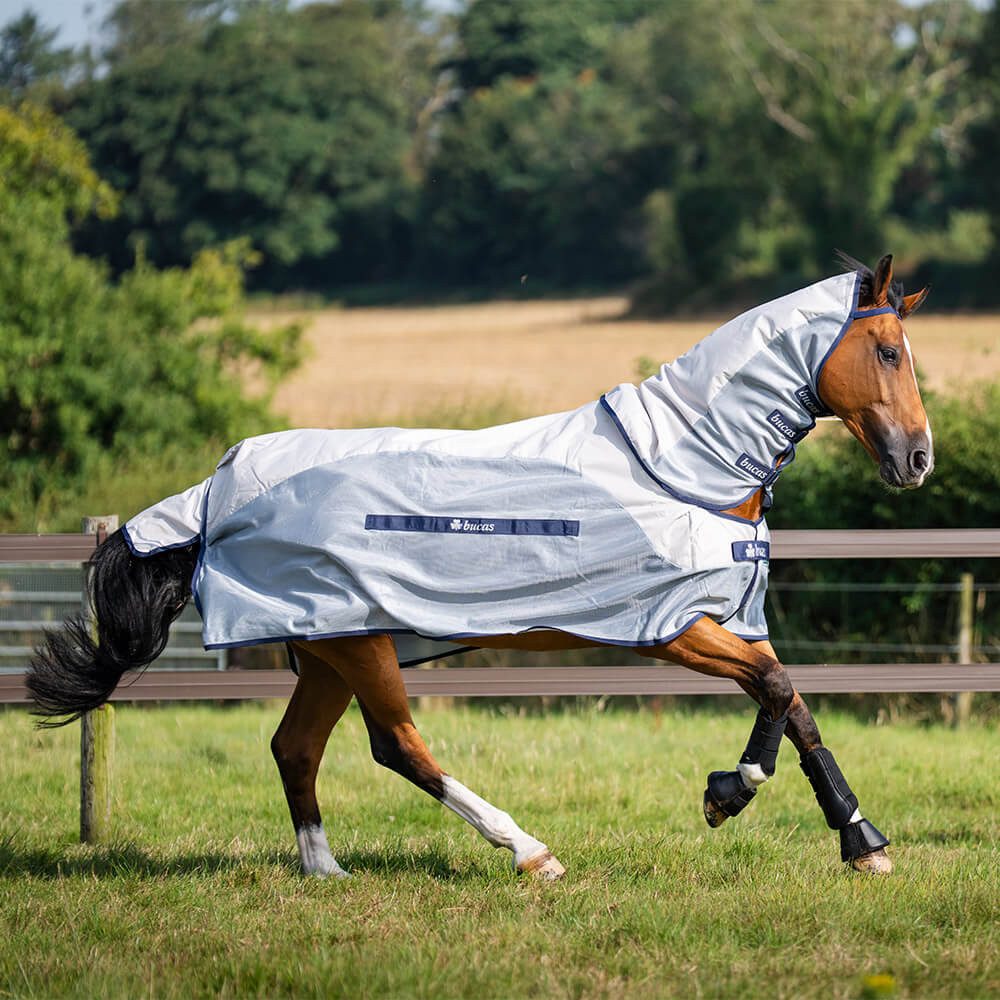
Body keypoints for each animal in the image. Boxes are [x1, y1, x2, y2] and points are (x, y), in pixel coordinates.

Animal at [28, 253, 932, 882]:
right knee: (398, 747)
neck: (683, 469)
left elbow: (797, 705)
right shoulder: (675, 628)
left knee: (295, 748)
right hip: (360, 645)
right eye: (889, 351)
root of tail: (218, 486)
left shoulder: (727, 622)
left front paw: (863, 842)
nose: (918, 459)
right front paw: (727, 794)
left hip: (326, 643)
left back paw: (326, 870)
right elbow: (777, 692)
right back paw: (530, 852)